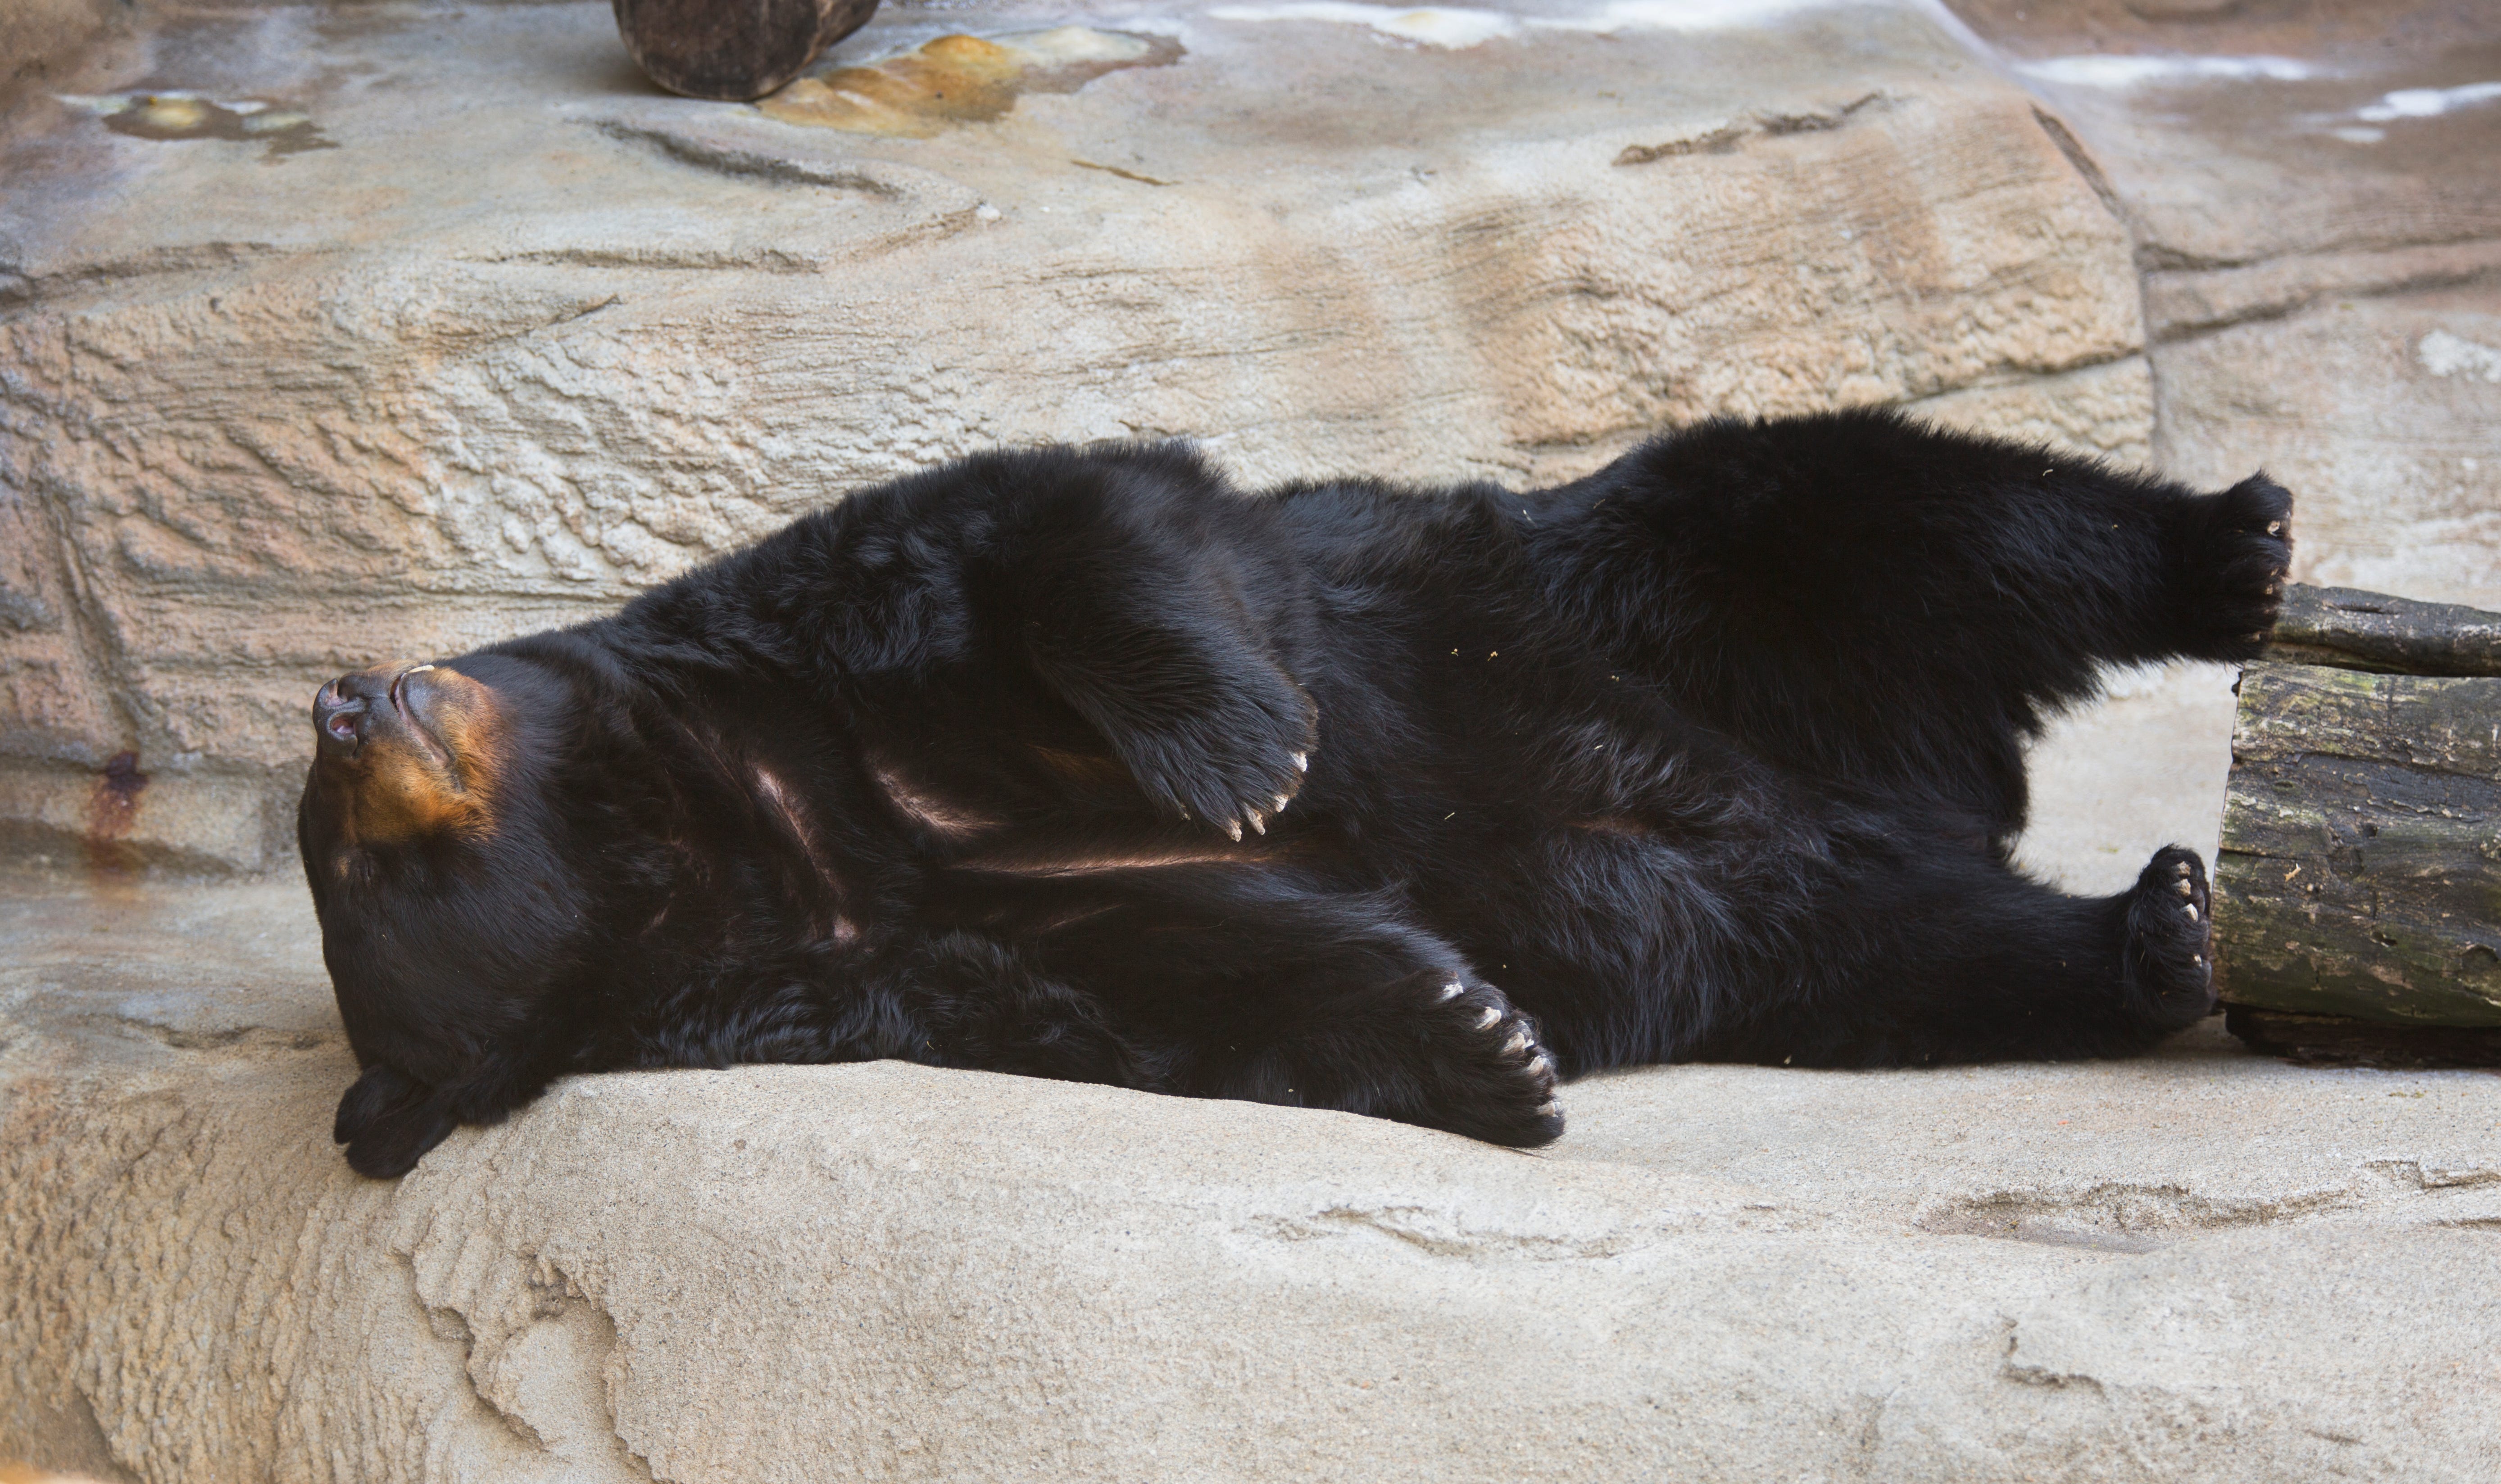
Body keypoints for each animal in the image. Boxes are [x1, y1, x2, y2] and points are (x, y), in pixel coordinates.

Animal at [298, 408, 2293, 1178]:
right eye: (351, 864)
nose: (336, 695)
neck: (769, 810)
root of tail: (1939, 783)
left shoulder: (826, 631)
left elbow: (1071, 528)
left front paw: (1247, 754)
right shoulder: (927, 950)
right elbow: (1210, 965)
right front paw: (1484, 1045)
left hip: (1658, 597)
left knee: (1883, 509)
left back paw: (2231, 550)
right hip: (1789, 905)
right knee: (1905, 949)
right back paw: (2148, 933)